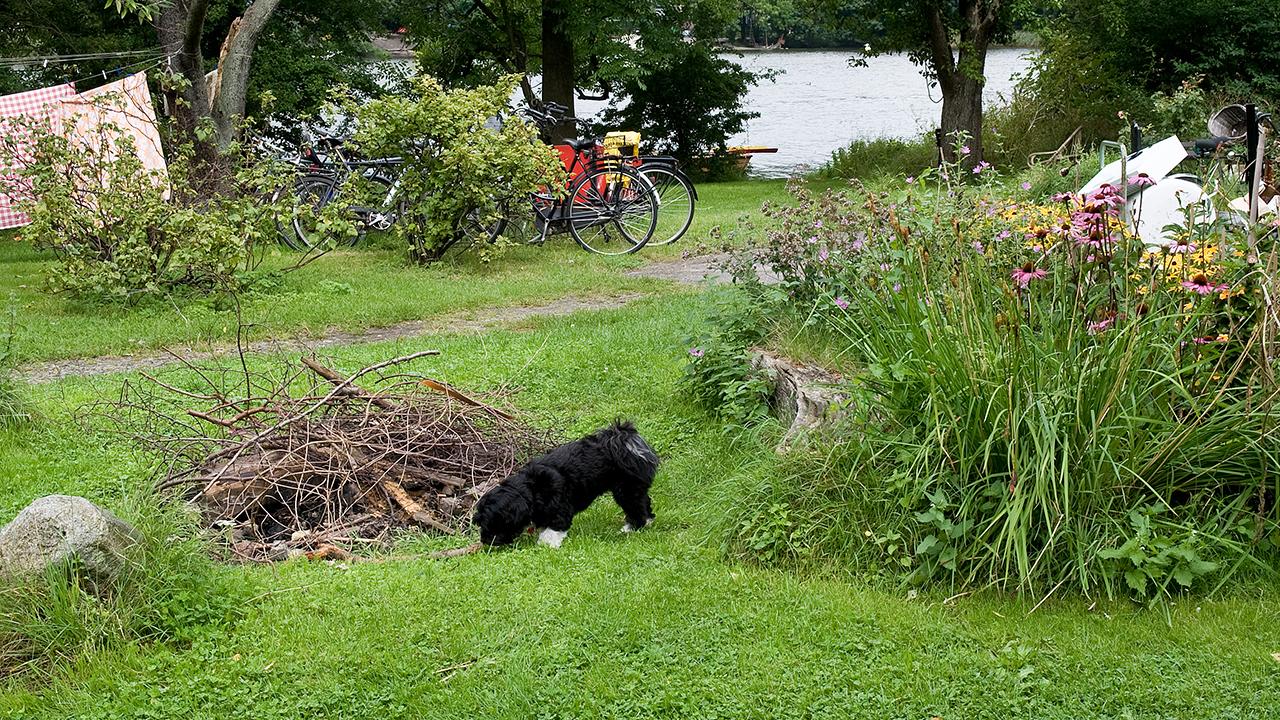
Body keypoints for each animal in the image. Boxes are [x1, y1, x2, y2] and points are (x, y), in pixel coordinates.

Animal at [478, 417, 665, 545]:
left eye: (492, 524)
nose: (485, 540)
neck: (531, 488)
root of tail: (624, 442)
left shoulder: (559, 504)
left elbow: (556, 525)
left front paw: (546, 542)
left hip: (625, 489)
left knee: (636, 507)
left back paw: (632, 528)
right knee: (644, 502)